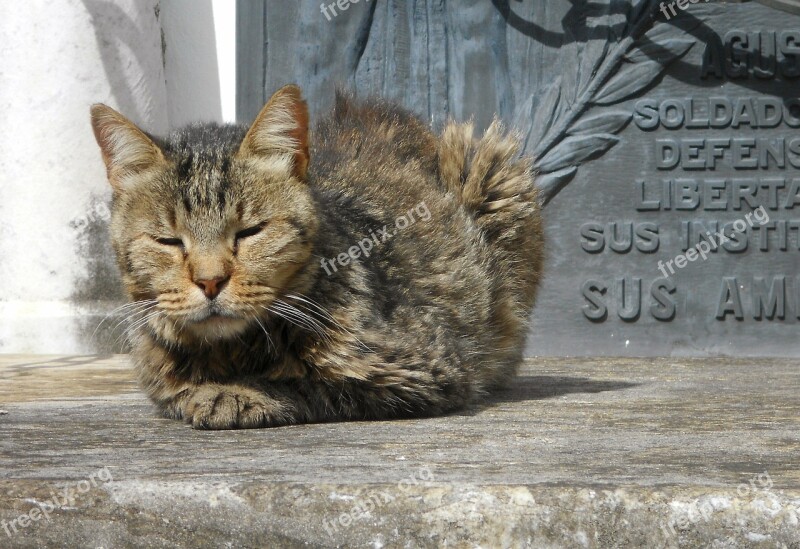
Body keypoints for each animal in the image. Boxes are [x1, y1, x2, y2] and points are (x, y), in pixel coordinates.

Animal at [90, 84, 548, 428]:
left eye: (250, 231)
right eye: (168, 241)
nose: (210, 281)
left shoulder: (425, 368)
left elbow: (308, 383)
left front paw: (235, 392)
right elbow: (176, 390)